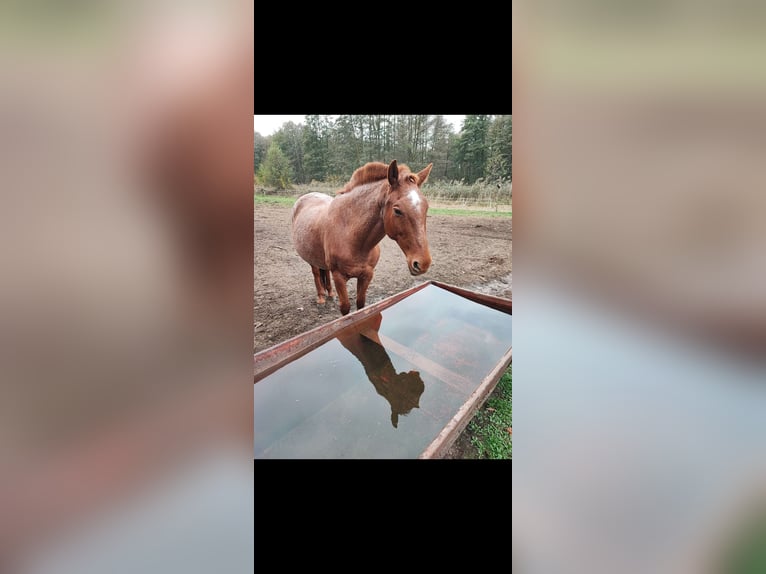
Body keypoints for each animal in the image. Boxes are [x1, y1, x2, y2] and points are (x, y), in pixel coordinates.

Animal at [291, 159, 433, 315]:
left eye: (426, 208)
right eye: (397, 210)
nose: (423, 263)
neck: (352, 237)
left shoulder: (367, 275)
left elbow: (361, 305)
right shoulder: (339, 277)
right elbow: (346, 308)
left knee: (324, 272)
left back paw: (330, 293)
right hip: (311, 258)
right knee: (316, 273)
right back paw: (321, 297)